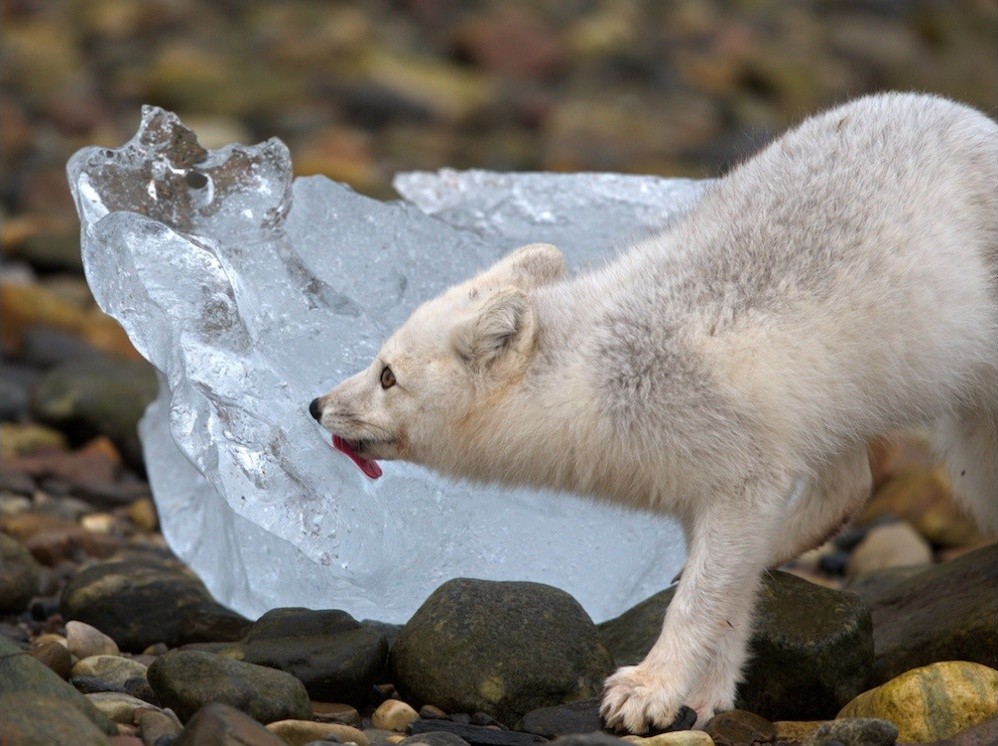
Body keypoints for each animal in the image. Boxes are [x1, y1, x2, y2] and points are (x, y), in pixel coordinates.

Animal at [308, 91, 996, 728]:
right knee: (849, 487)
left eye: (388, 376)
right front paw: (704, 695)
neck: (596, 373)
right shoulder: (709, 494)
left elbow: (700, 602)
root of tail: (972, 116)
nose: (314, 405)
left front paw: (650, 687)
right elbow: (728, 604)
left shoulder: (742, 481)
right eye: (377, 362)